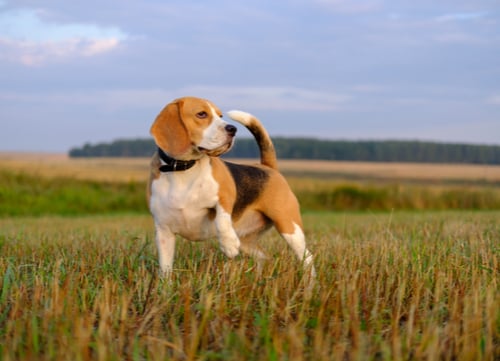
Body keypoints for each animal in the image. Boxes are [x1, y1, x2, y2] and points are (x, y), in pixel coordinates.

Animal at [146, 97, 314, 280]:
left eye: (220, 115)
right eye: (201, 114)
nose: (233, 129)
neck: (184, 169)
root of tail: (268, 167)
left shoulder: (225, 194)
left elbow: (222, 217)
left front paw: (228, 244)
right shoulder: (164, 232)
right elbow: (165, 268)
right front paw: (165, 286)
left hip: (288, 226)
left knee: (307, 257)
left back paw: (310, 283)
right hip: (247, 241)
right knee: (264, 257)